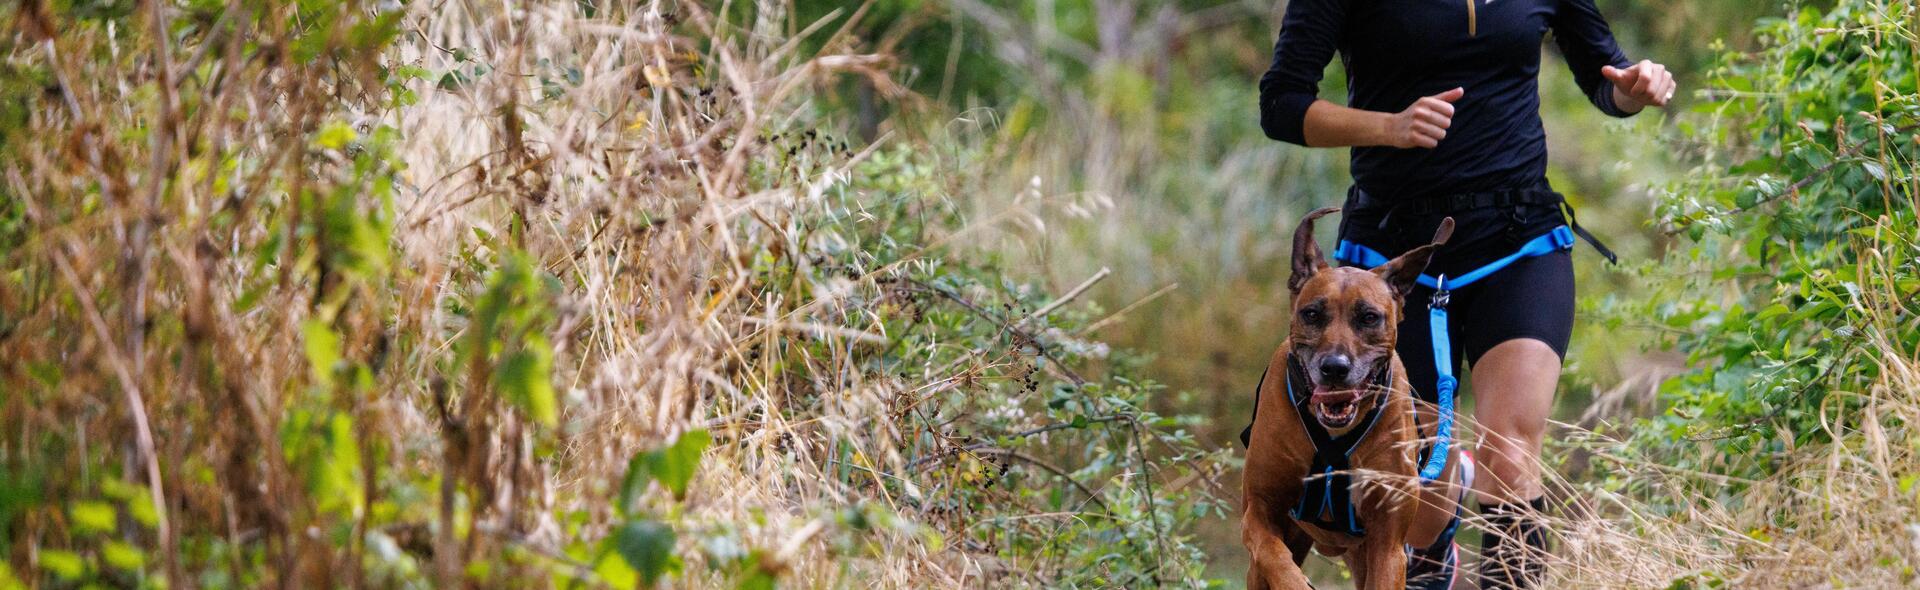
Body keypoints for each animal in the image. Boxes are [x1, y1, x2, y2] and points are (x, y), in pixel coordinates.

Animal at [1244, 209, 1451, 590]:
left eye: (1368, 317)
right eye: (1312, 313)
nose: (1335, 368)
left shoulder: (1388, 544)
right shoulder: (1259, 510)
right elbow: (1273, 555)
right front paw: (1296, 582)